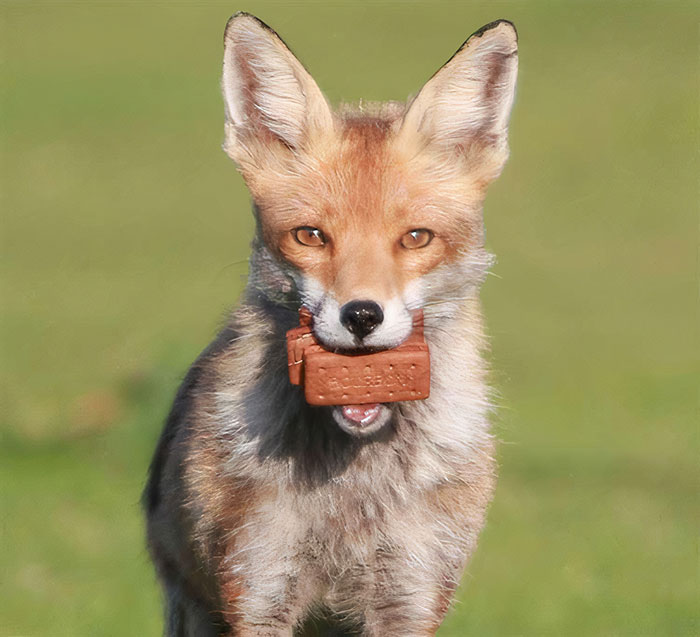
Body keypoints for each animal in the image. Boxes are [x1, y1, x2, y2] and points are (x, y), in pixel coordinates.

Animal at [144, 11, 518, 637]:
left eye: (416, 238)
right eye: (311, 235)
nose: (361, 315)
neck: (353, 494)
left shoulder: (410, 594)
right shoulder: (259, 584)